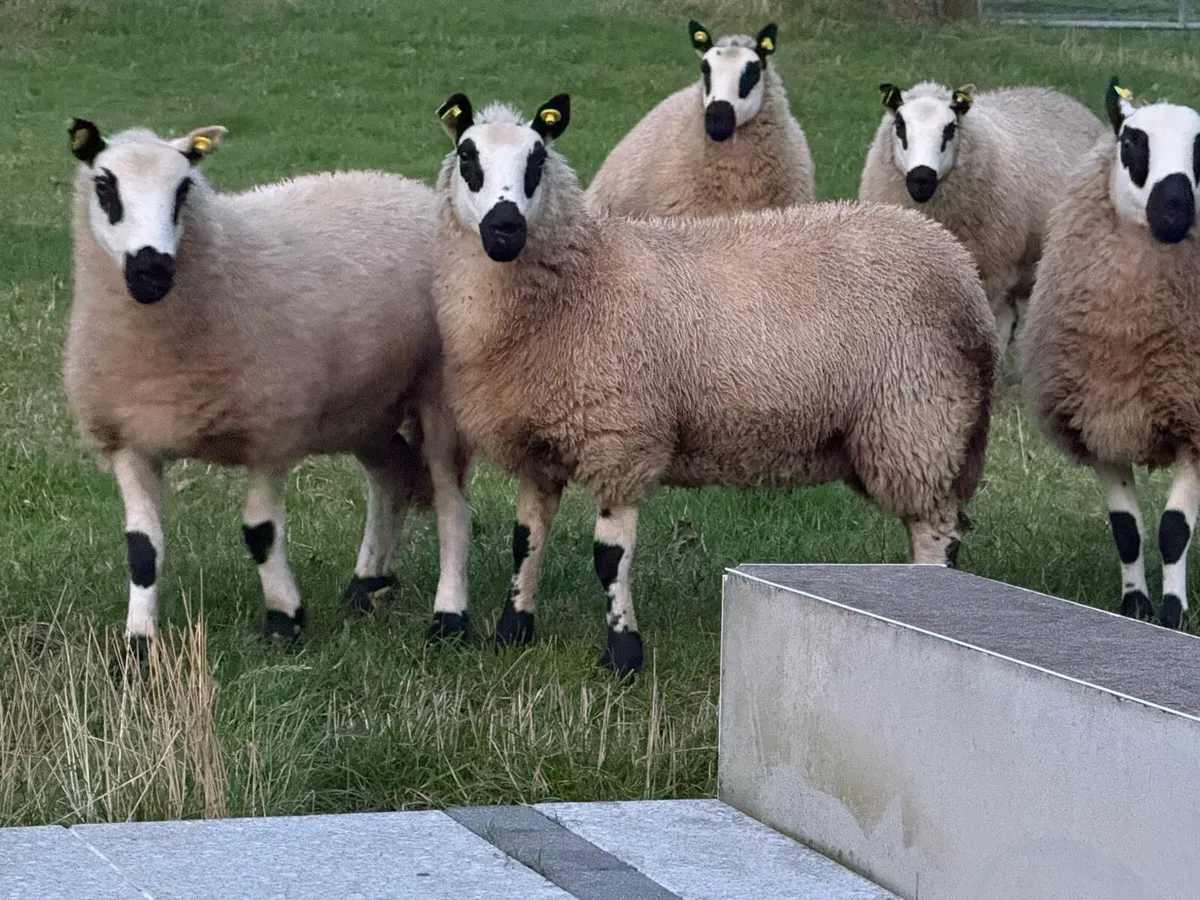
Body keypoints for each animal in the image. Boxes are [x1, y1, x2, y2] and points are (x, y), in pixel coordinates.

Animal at [64, 119, 472, 651]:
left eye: (184, 189)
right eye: (104, 186)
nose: (153, 270)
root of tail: (409, 190)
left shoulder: (271, 430)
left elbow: (260, 533)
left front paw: (283, 619)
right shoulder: (128, 441)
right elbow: (141, 550)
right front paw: (138, 643)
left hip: (439, 392)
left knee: (450, 505)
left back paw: (449, 616)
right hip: (365, 410)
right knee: (392, 478)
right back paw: (367, 584)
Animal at [432, 92, 996, 676]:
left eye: (537, 159)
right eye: (467, 155)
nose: (505, 227)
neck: (583, 277)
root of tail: (957, 264)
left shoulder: (621, 439)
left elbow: (609, 559)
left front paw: (623, 653)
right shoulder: (540, 448)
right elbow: (525, 542)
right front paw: (512, 631)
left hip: (919, 419)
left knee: (935, 533)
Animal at [1020, 80, 1200, 631]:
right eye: (1132, 141)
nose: (1174, 212)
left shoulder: (1194, 421)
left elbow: (1173, 530)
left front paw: (1173, 612)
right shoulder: (1100, 417)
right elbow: (1127, 529)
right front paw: (1134, 603)